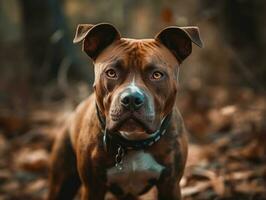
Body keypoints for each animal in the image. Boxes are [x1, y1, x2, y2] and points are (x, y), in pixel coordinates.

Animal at [47, 22, 203, 199]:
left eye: (157, 75)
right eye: (111, 73)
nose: (132, 99)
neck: (133, 143)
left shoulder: (170, 185)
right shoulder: (93, 187)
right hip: (62, 182)